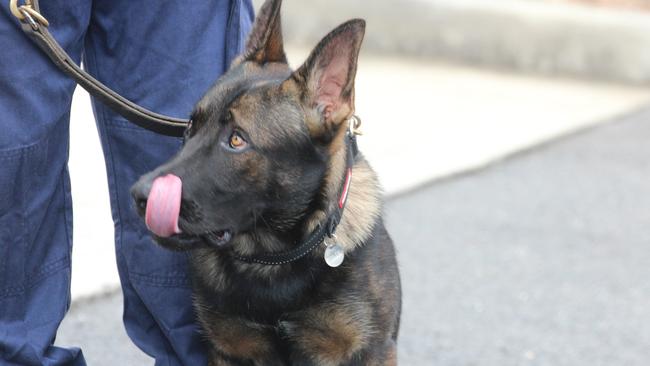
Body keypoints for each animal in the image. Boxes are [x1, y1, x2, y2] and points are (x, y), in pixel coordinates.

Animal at [129, 0, 398, 364]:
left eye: (237, 140)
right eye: (190, 128)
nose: (140, 196)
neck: (273, 258)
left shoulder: (372, 351)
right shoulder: (227, 350)